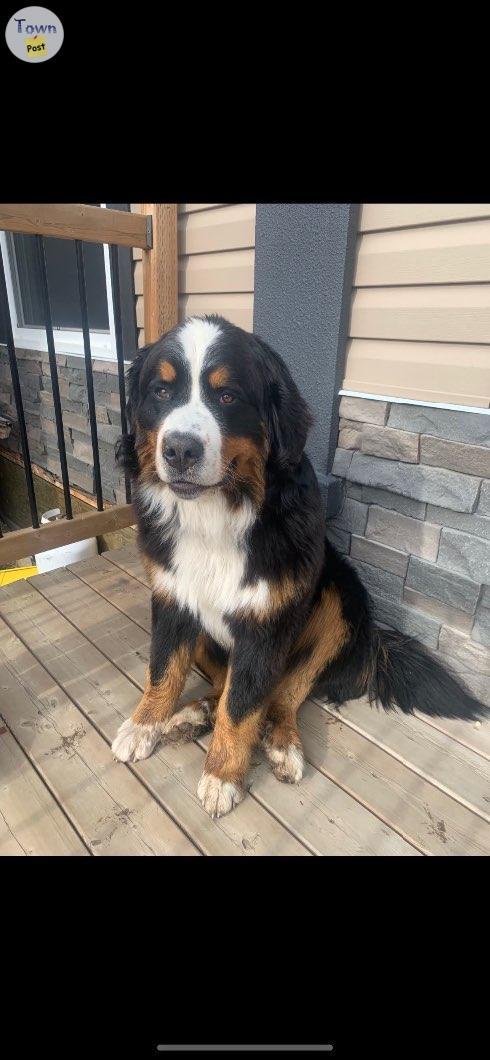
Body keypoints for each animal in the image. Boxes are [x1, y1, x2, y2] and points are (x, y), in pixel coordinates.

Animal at [110, 313, 481, 818]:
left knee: (283, 693)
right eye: (161, 391)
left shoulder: (266, 622)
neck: (217, 516)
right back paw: (194, 713)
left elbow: (243, 705)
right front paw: (143, 724)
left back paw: (282, 744)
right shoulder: (173, 596)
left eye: (227, 396)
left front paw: (222, 775)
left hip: (340, 600)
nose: (180, 450)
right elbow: (164, 669)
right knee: (227, 683)